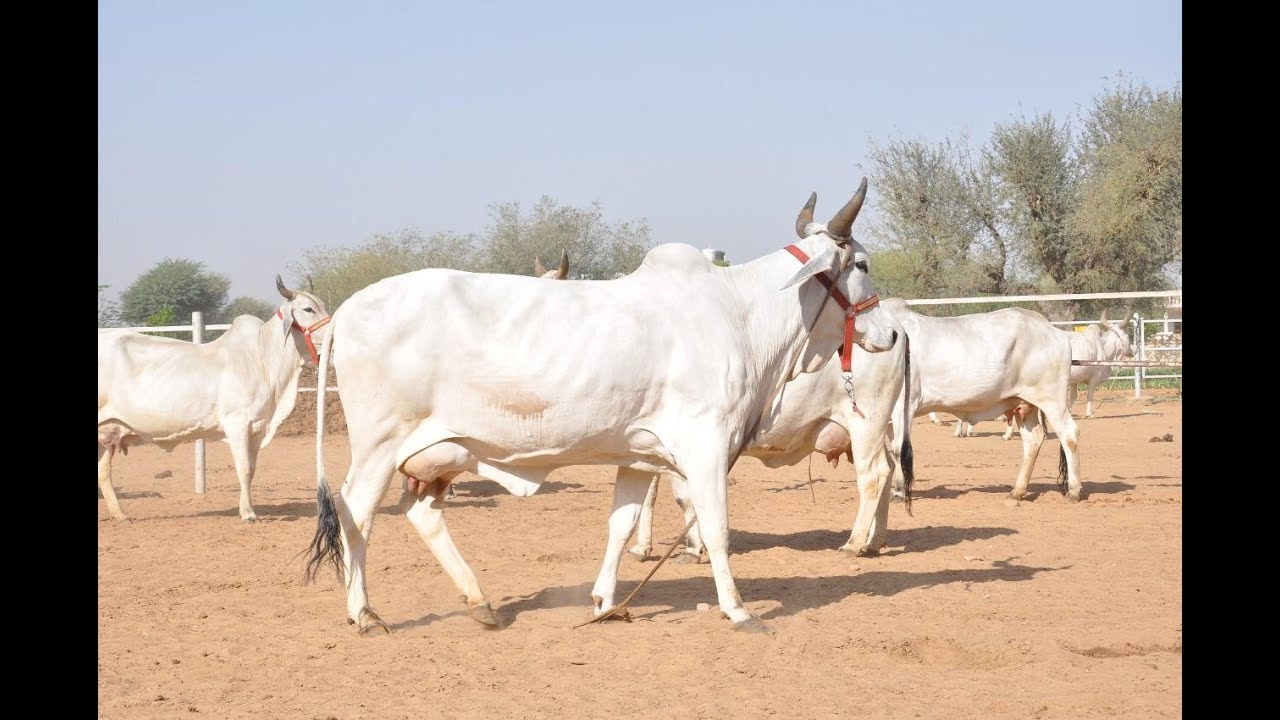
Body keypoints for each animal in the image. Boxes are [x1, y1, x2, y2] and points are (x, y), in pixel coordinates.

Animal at [97, 276, 330, 522]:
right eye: (308, 309)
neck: (263, 360)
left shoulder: (257, 429)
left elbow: (252, 469)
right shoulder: (237, 424)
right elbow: (244, 469)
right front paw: (248, 513)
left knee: (103, 471)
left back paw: (121, 515)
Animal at [304, 180, 898, 634]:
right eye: (863, 264)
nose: (891, 332)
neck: (739, 312)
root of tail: (349, 307)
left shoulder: (639, 456)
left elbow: (621, 525)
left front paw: (606, 602)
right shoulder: (705, 446)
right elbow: (716, 527)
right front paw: (738, 610)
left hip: (439, 453)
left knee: (421, 513)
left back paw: (480, 603)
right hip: (380, 444)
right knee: (356, 512)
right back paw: (363, 612)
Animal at [881, 299, 1083, 503]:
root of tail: (1055, 332)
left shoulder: (902, 406)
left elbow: (898, 449)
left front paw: (899, 492)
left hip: (1052, 400)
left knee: (1069, 434)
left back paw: (1073, 491)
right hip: (1024, 404)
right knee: (1033, 440)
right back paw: (1017, 492)